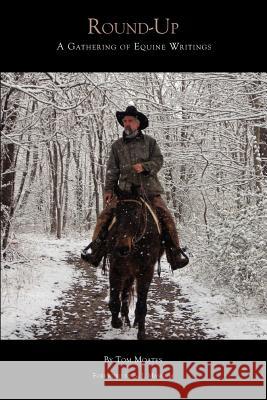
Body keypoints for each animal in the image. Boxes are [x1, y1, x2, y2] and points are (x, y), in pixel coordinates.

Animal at [105, 185, 164, 340]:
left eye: (137, 213)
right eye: (116, 212)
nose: (122, 248)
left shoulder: (146, 271)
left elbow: (142, 305)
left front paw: (141, 332)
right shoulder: (115, 268)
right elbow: (114, 299)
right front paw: (117, 322)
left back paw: (135, 322)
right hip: (128, 273)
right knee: (125, 294)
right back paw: (125, 320)